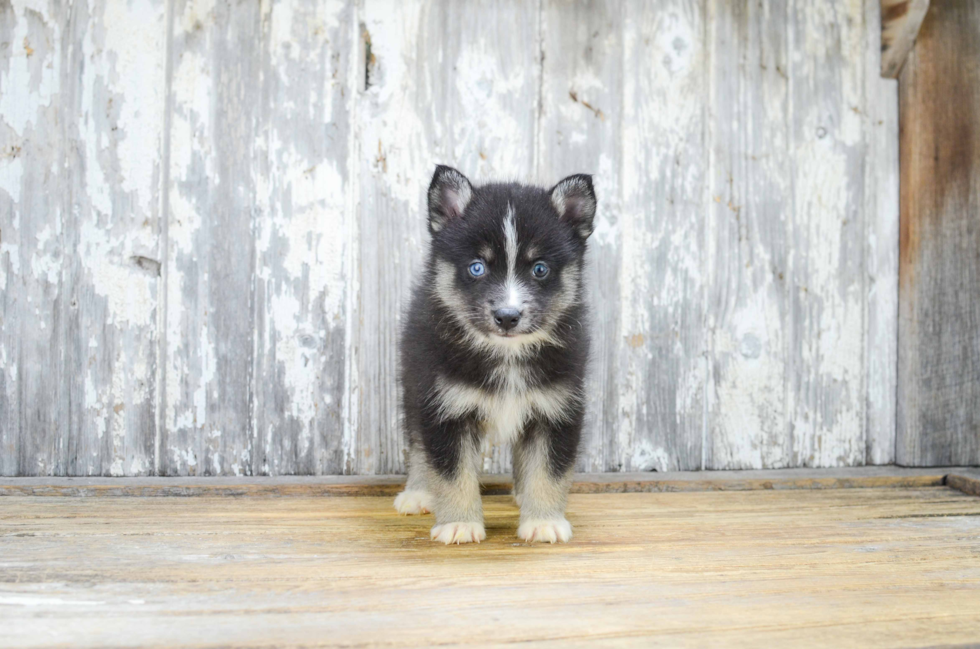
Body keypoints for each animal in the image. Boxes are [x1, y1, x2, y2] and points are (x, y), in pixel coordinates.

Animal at [392, 166, 592, 540]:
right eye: (476, 267)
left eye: (540, 268)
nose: (507, 316)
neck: (506, 354)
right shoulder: (445, 406)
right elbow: (451, 470)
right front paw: (458, 522)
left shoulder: (557, 407)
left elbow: (550, 469)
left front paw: (543, 520)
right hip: (414, 386)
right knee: (418, 444)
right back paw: (419, 492)